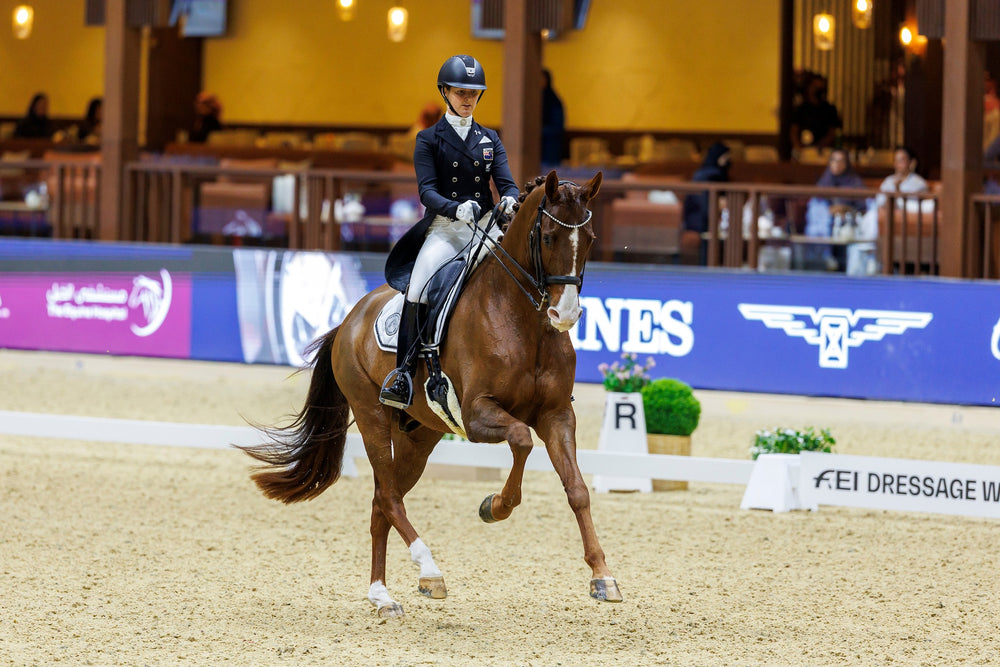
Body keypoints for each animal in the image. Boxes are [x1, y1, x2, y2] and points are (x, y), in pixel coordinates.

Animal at [238, 170, 620, 620]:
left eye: (590, 238)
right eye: (547, 237)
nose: (566, 315)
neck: (524, 322)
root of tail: (350, 317)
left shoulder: (557, 414)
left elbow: (577, 489)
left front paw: (602, 576)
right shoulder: (476, 414)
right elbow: (522, 441)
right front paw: (494, 506)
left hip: (419, 435)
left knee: (381, 503)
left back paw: (383, 596)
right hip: (371, 416)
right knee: (388, 497)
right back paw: (429, 571)